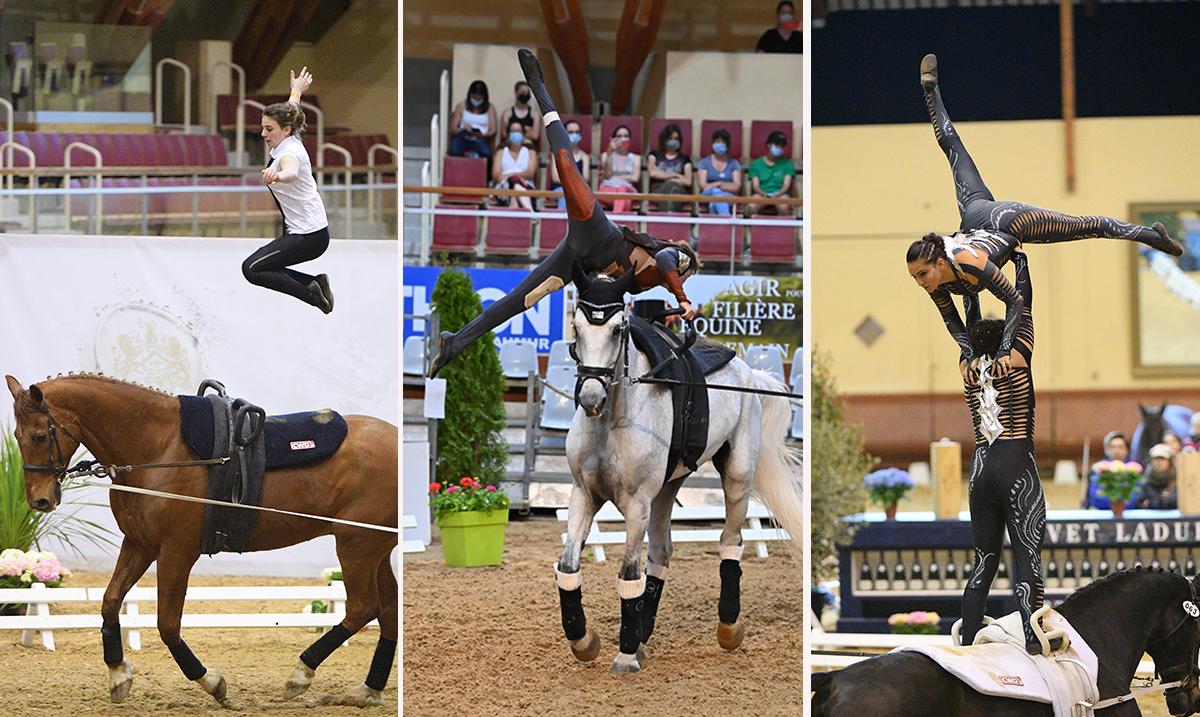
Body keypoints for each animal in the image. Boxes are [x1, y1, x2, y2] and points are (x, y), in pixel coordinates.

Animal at [5, 374, 398, 709]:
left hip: (356, 546)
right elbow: (110, 601)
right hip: (375, 549)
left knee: (363, 607)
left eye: (39, 436)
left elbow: (167, 625)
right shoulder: (139, 544)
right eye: (17, 436)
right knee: (388, 608)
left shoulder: (176, 552)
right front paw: (118, 674)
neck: (160, 447)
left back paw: (301, 674)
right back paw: (369, 690)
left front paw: (212, 683)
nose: (40, 500)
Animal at [554, 272, 806, 676]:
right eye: (576, 327)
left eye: (618, 329)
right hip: (666, 489)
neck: (613, 422)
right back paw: (642, 635)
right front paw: (584, 641)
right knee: (661, 552)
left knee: (730, 541)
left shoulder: (636, 505)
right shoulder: (584, 494)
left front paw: (624, 655)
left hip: (736, 476)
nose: (591, 399)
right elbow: (568, 565)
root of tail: (749, 373)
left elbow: (629, 575)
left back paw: (728, 628)